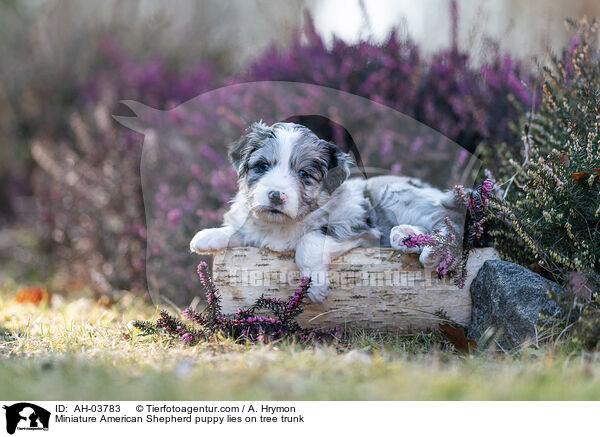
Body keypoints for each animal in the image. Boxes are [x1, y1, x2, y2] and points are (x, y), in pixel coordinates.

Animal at [191, 121, 464, 302]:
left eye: (304, 173)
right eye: (263, 166)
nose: (276, 195)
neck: (282, 225)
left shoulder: (353, 225)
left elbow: (308, 243)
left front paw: (314, 286)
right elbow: (241, 229)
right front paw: (208, 236)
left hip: (394, 193)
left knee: (450, 224)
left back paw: (432, 251)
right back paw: (404, 237)